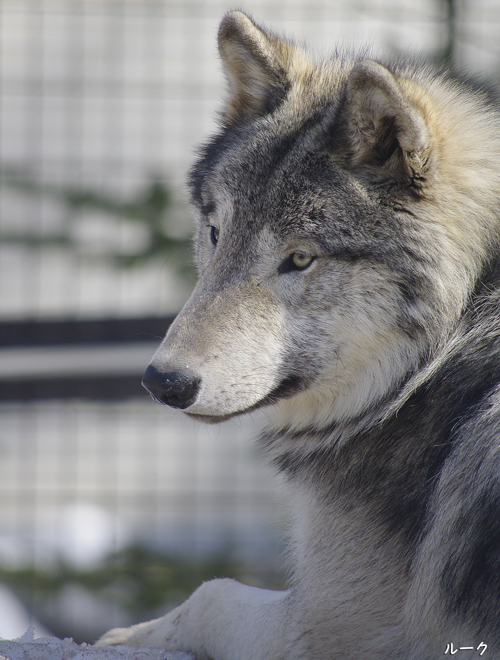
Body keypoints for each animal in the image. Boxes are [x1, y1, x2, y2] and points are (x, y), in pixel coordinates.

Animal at [97, 10, 500, 660]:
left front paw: (123, 634)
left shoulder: (331, 626)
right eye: (216, 232)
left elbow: (208, 593)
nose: (163, 382)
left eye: (301, 259)